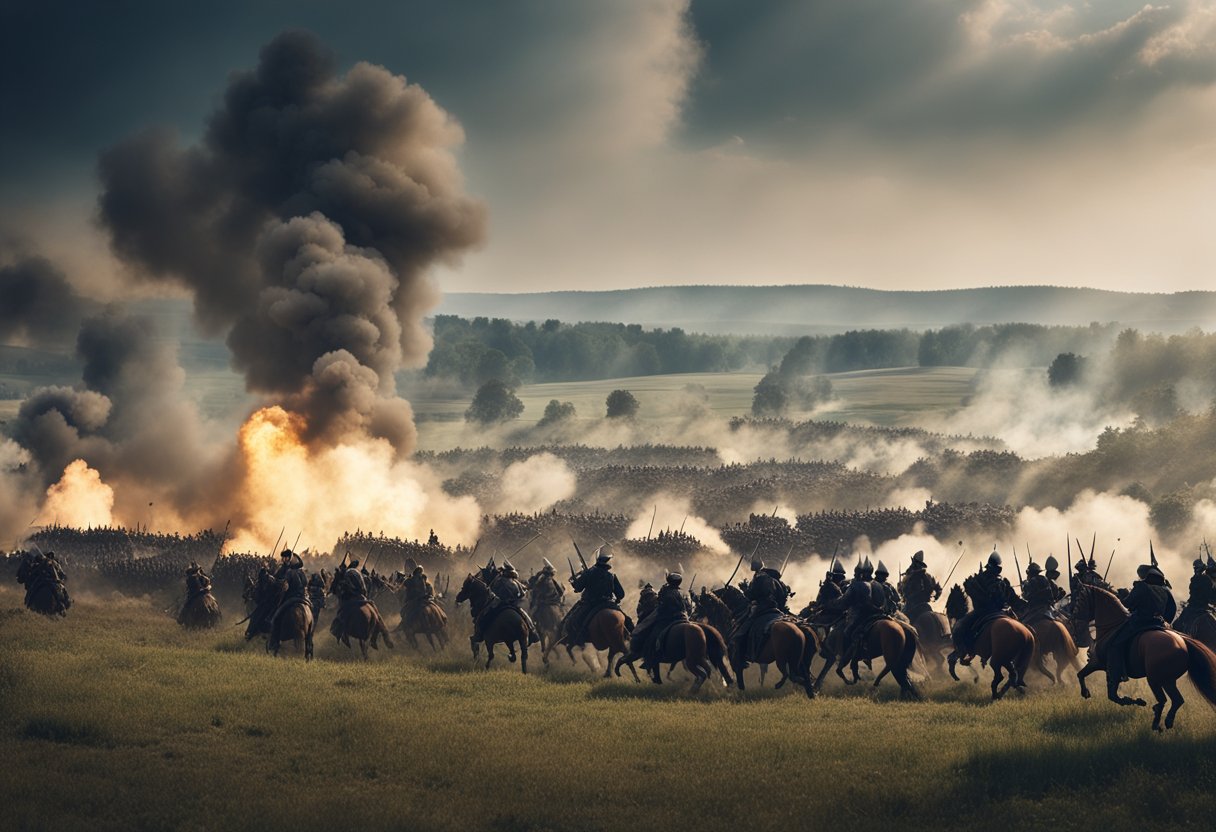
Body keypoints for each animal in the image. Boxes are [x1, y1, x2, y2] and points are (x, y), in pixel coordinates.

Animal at [1070, 583, 1216, 729]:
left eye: (1079, 599)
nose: (1074, 619)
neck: (1111, 627)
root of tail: (1183, 645)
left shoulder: (1100, 664)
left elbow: (1111, 694)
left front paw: (1133, 701)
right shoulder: (1101, 666)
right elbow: (1082, 675)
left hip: (1155, 680)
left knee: (1164, 700)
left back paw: (1157, 721)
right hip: (1168, 680)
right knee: (1177, 700)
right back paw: (1166, 721)